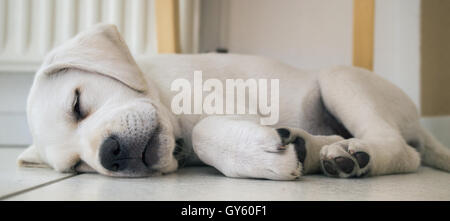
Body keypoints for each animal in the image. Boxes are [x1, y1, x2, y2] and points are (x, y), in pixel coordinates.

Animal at [17, 23, 450, 180]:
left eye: (78, 104)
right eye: (77, 166)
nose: (112, 154)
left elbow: (206, 131)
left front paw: (255, 154)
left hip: (339, 79)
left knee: (403, 151)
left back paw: (355, 155)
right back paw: (321, 150)